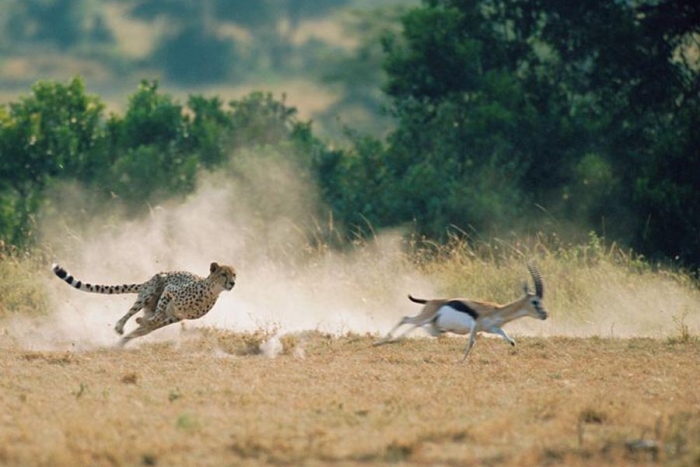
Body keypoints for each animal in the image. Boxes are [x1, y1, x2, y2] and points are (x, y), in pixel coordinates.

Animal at [51, 264, 238, 348]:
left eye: (234, 274)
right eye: (223, 274)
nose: (232, 283)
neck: (211, 291)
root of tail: (147, 281)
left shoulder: (176, 317)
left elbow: (156, 321)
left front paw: (144, 324)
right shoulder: (169, 290)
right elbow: (158, 314)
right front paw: (141, 321)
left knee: (142, 327)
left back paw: (122, 342)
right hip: (150, 292)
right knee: (129, 314)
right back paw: (120, 327)